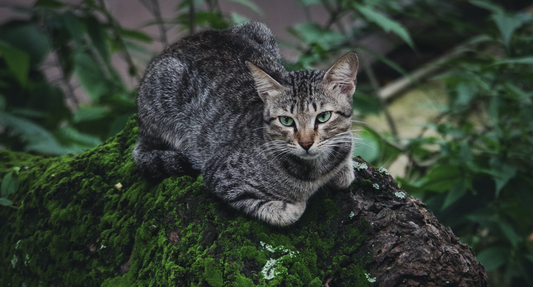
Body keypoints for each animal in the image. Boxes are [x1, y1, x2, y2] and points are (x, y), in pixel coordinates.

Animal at [132, 22, 358, 227]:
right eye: (286, 120)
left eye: (323, 117)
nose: (306, 143)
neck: (316, 171)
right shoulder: (220, 175)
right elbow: (287, 212)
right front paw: (295, 203)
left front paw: (343, 169)